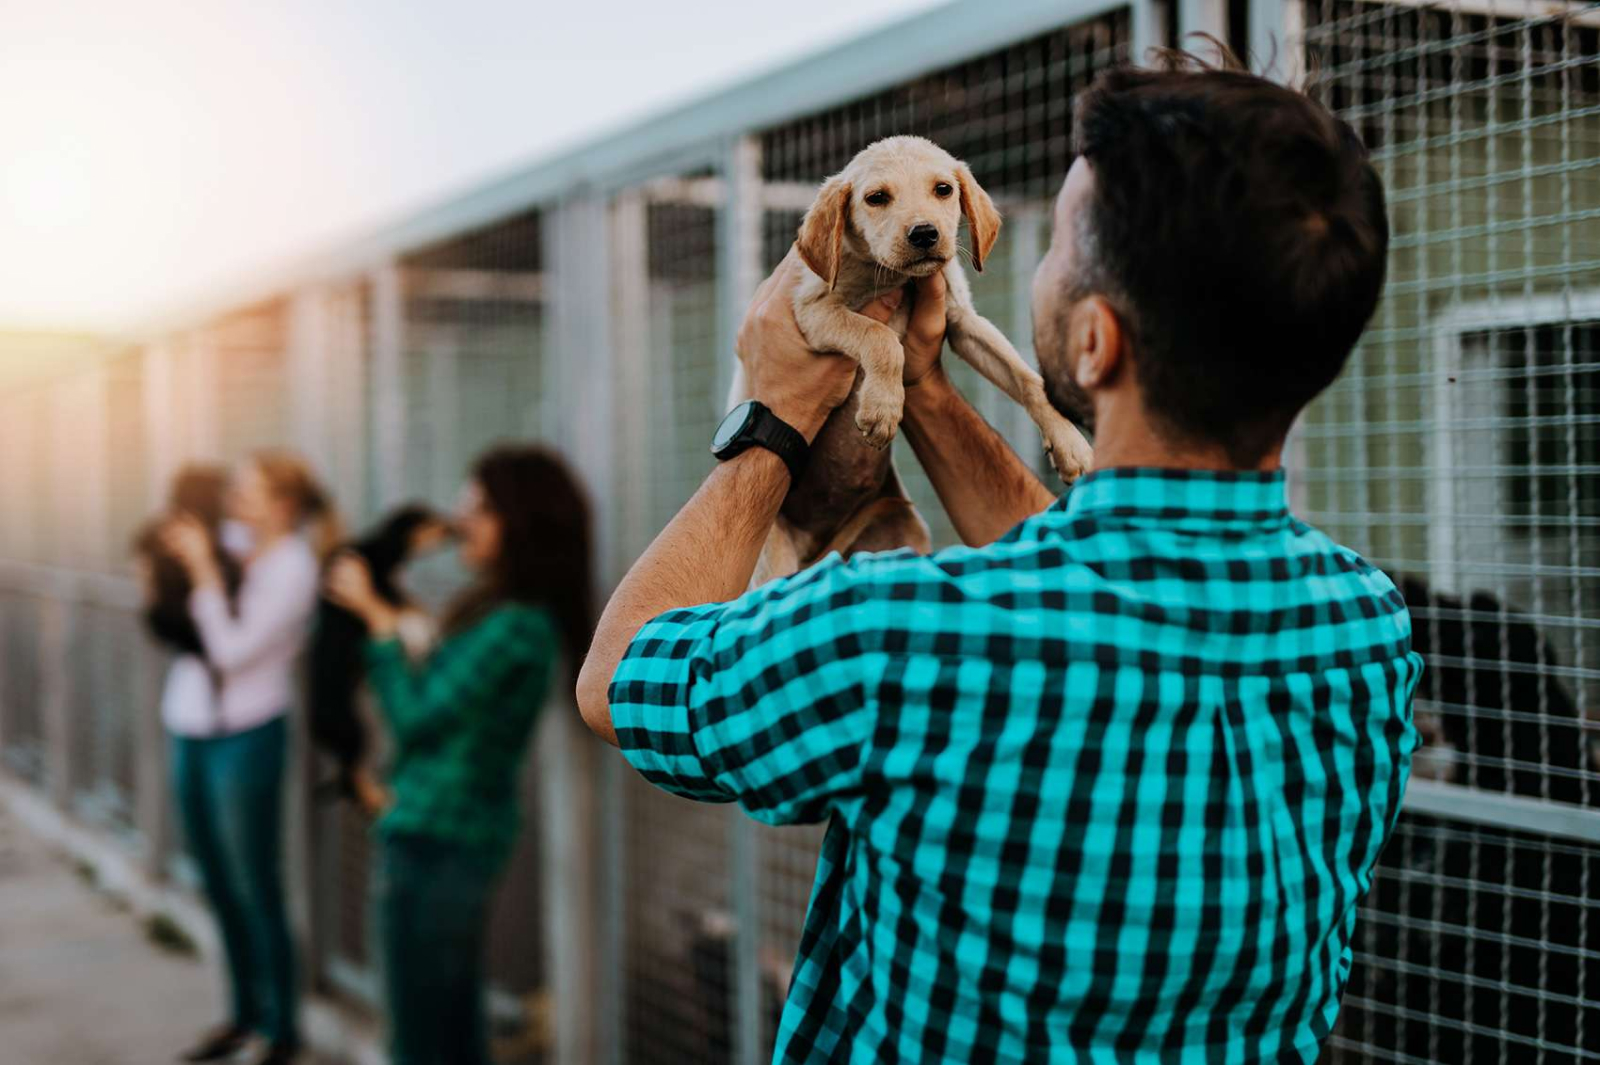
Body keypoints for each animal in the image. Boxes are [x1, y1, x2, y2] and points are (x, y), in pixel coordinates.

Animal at [305, 502, 451, 809]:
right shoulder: (381, 586)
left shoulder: (386, 585)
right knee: (351, 775)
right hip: (352, 731)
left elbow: (406, 598)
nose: (456, 527)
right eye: (428, 519)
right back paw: (376, 798)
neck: (379, 546)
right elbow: (401, 601)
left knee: (349, 775)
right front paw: (419, 621)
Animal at [732, 136, 1094, 585]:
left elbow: (1027, 378)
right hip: (772, 557)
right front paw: (883, 407)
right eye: (876, 198)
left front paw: (1068, 441)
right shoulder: (812, 311)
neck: (894, 278)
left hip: (901, 531)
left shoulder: (963, 320)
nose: (924, 233)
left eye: (943, 189)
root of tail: (817, 550)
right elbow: (883, 337)